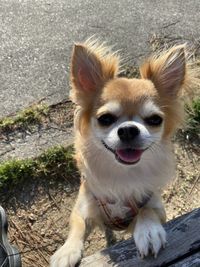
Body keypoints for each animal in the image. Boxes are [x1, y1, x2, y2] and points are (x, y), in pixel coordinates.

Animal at [50, 38, 198, 267]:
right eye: (105, 119)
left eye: (155, 119)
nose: (128, 129)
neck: (122, 173)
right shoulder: (83, 207)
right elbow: (78, 225)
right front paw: (66, 251)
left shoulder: (157, 207)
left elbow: (146, 209)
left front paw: (148, 232)